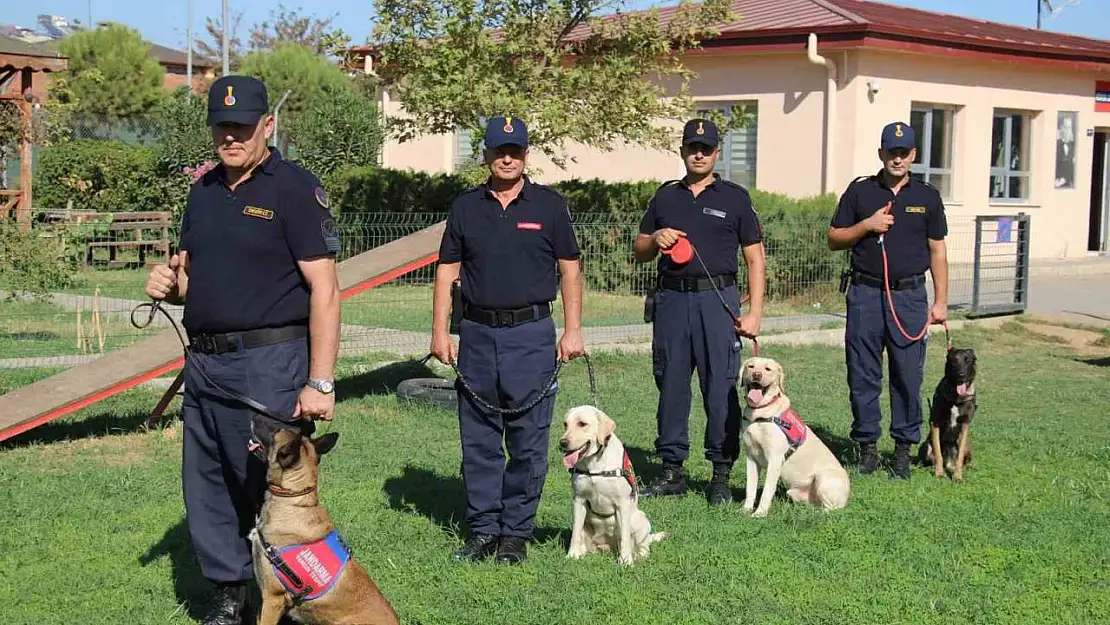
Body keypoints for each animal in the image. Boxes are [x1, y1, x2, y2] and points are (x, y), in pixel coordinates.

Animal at [559, 406, 661, 568]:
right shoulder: (578, 500)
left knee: (643, 546)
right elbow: (575, 532)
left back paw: (638, 556)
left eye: (582, 424)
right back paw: (582, 552)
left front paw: (626, 561)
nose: (563, 443)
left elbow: (624, 537)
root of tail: (608, 546)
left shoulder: (622, 503)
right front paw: (572, 555)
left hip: (641, 519)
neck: (595, 463)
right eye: (565, 424)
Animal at [741, 357, 852, 519]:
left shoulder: (775, 459)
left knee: (832, 509)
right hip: (793, 492)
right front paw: (745, 509)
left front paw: (760, 513)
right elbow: (750, 488)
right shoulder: (751, 458)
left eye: (768, 369)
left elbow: (767, 490)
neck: (759, 413)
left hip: (823, 477)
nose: (756, 375)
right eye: (751, 366)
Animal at [919, 350, 981, 481]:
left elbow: (960, 457)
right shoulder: (935, 422)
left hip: (967, 446)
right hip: (926, 445)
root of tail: (948, 463)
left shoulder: (965, 424)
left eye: (968, 360)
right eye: (954, 360)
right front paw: (939, 473)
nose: (961, 375)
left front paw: (958, 476)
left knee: (963, 460)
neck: (956, 397)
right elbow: (938, 453)